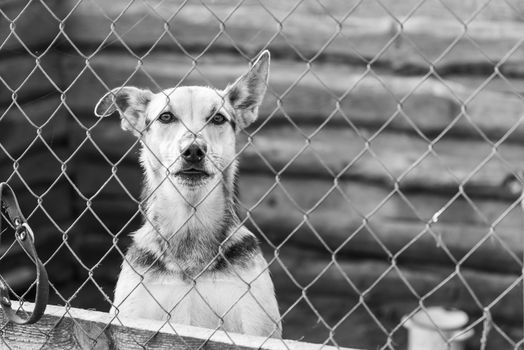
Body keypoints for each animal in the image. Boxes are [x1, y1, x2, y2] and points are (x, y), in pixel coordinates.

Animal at [94, 50, 282, 338]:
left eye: (218, 118)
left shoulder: (256, 324)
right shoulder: (132, 317)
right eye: (166, 117)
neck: (190, 225)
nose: (193, 150)